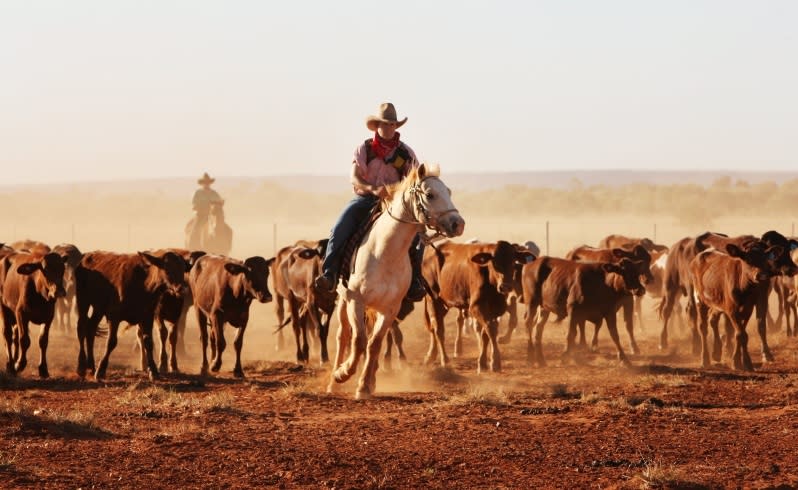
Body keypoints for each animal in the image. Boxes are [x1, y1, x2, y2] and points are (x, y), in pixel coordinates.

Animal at [76, 251, 190, 380]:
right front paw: (101, 370)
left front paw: (153, 371)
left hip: (98, 308)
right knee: (81, 328)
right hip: (83, 300)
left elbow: (148, 342)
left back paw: (91, 366)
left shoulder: (147, 317)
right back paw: (81, 367)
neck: (144, 285)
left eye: (183, 269)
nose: (181, 288)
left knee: (90, 328)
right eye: (167, 268)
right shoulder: (114, 316)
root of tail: (85, 257)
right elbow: (111, 342)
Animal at [330, 163, 466, 400]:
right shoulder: (356, 301)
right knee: (343, 336)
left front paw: (364, 386)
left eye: (448, 192)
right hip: (343, 301)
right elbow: (359, 341)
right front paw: (343, 373)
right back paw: (334, 381)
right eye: (430, 194)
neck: (383, 252)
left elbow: (374, 343)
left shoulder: (390, 308)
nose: (457, 224)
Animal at [422, 240, 536, 372]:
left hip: (444, 303)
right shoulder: (475, 307)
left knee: (433, 327)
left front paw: (483, 362)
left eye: (513, 261)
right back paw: (444, 360)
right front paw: (495, 361)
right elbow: (490, 329)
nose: (505, 287)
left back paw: (431, 355)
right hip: (433, 299)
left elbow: (485, 333)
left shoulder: (495, 309)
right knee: (438, 329)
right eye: (494, 262)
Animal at [520, 258, 648, 366]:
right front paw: (566, 356)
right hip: (531, 302)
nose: (640, 289)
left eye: (637, 273)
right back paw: (530, 356)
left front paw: (624, 359)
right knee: (528, 323)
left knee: (538, 328)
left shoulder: (609, 312)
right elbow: (571, 333)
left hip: (544, 307)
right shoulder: (573, 308)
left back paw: (541, 359)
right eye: (624, 272)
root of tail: (529, 264)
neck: (603, 283)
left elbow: (614, 335)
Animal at [692, 239, 796, 370]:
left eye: (765, 259)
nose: (761, 275)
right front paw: (742, 362)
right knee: (703, 328)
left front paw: (741, 360)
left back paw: (716, 352)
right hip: (700, 299)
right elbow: (741, 334)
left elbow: (742, 333)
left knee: (713, 319)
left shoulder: (749, 308)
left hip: (717, 303)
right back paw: (705, 359)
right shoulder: (732, 310)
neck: (744, 287)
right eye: (748, 259)